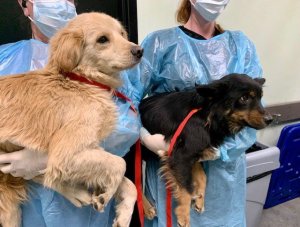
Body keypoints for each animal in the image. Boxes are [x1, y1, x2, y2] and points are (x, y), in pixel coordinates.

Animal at [0, 12, 142, 227]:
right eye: (102, 39)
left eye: (122, 34)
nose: (140, 50)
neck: (81, 81)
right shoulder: (67, 153)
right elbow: (119, 163)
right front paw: (107, 194)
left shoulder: (91, 148)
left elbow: (129, 183)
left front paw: (123, 215)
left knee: (41, 176)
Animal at [139, 73, 274, 226]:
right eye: (244, 98)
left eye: (260, 98)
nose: (270, 119)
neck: (206, 112)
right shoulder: (180, 157)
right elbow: (186, 187)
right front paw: (184, 215)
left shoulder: (196, 156)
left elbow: (203, 177)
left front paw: (199, 200)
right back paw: (147, 208)